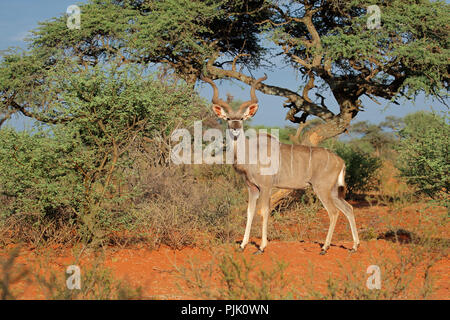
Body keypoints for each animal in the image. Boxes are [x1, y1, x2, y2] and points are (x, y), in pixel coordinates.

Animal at [202, 75, 360, 255]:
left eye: (242, 118)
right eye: (228, 119)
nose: (235, 128)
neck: (250, 152)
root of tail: (340, 161)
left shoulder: (265, 187)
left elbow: (263, 211)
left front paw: (261, 247)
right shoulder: (252, 188)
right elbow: (249, 212)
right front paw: (242, 245)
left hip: (322, 189)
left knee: (333, 212)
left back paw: (325, 248)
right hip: (333, 191)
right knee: (348, 208)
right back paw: (354, 246)